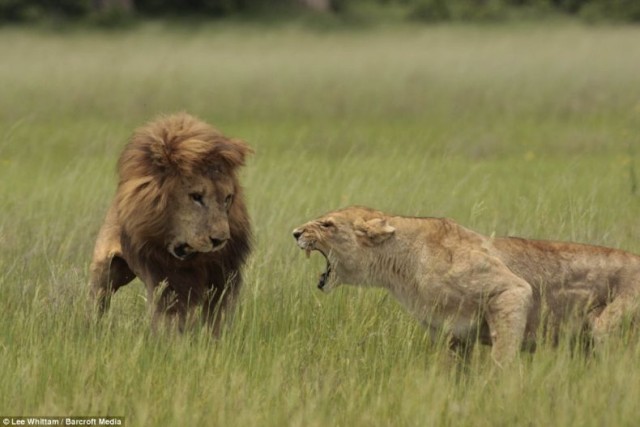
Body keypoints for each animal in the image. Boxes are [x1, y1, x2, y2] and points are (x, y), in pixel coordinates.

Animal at [89, 113, 252, 334]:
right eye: (196, 196)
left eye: (228, 198)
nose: (220, 240)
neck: (192, 259)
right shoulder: (164, 278)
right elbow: (169, 319)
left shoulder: (222, 278)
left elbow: (216, 319)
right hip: (105, 270)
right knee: (97, 302)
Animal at [294, 206, 640, 366]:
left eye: (327, 224)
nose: (295, 232)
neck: (399, 267)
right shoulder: (451, 334)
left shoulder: (513, 290)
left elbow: (503, 355)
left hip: (606, 327)